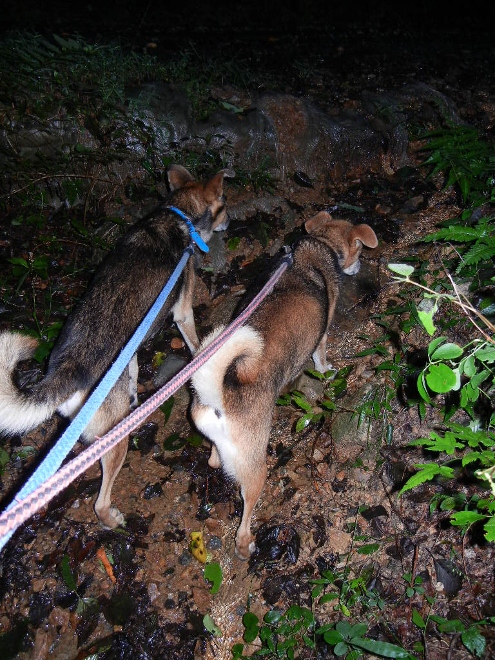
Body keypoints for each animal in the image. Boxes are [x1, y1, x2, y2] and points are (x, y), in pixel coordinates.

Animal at [0, 164, 234, 532]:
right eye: (223, 203)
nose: (231, 221)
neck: (177, 214)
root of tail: (68, 368)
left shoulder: (133, 348)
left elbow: (134, 365)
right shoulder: (182, 308)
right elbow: (194, 341)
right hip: (114, 440)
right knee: (100, 500)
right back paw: (111, 518)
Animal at [192, 214, 378, 560]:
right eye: (360, 250)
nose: (359, 266)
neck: (317, 246)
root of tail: (220, 395)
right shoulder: (321, 336)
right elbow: (321, 359)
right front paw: (326, 371)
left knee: (213, 460)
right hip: (255, 468)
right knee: (245, 516)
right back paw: (246, 545)